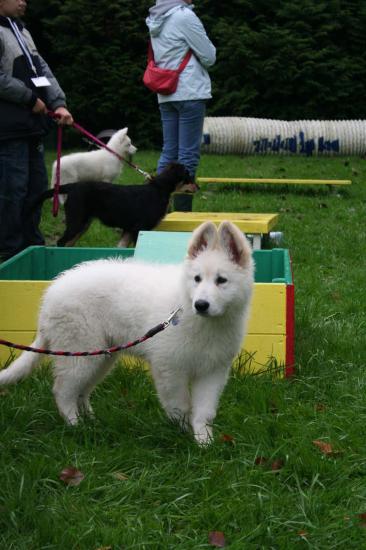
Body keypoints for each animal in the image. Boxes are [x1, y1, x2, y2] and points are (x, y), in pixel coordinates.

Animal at [0, 222, 253, 446]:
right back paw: (75, 426)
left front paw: (204, 443)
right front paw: (181, 434)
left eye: (221, 281)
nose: (200, 305)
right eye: (197, 279)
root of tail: (50, 295)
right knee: (63, 391)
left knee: (81, 391)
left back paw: (92, 422)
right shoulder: (169, 368)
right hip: (79, 352)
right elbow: (179, 406)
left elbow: (204, 411)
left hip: (101, 356)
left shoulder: (214, 371)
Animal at [36, 163, 192, 247]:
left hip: (83, 224)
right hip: (76, 221)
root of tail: (72, 186)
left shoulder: (129, 229)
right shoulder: (139, 228)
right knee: (61, 242)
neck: (159, 189)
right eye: (188, 177)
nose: (196, 187)